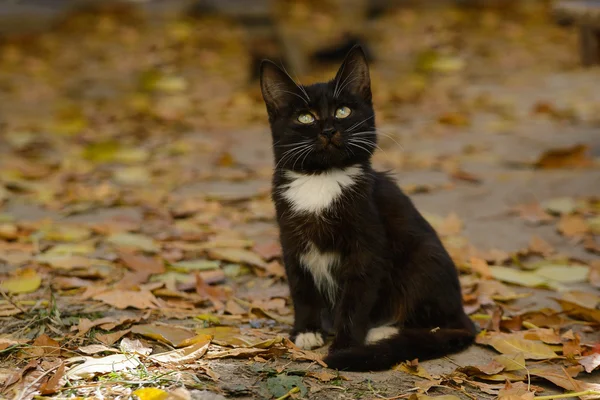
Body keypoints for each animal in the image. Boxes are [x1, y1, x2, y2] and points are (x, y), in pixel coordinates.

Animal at [260, 47, 476, 372]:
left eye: (343, 112)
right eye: (305, 117)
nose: (328, 130)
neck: (322, 179)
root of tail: (462, 314)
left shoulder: (367, 245)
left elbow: (356, 299)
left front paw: (345, 346)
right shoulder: (291, 241)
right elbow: (301, 288)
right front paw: (306, 331)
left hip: (424, 258)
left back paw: (383, 331)